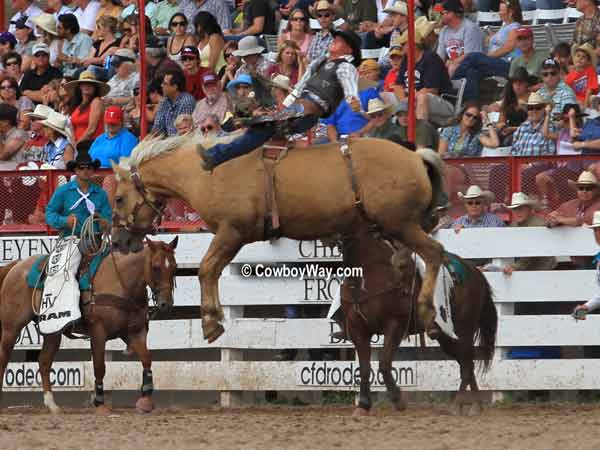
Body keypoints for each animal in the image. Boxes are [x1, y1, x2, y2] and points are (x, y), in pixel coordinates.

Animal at [0, 237, 178, 416]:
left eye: (175, 267)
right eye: (156, 267)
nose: (166, 304)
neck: (120, 280)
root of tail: (16, 266)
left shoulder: (135, 332)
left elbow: (147, 359)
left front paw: (146, 401)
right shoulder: (98, 332)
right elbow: (99, 366)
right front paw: (100, 404)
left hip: (52, 331)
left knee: (44, 361)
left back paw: (52, 405)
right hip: (11, 328)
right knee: (4, 357)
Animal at [111, 133, 446, 342]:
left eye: (117, 198)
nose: (118, 242)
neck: (207, 171)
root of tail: (416, 157)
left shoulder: (232, 231)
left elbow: (207, 268)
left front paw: (210, 322)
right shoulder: (231, 235)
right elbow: (213, 270)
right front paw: (215, 317)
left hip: (403, 225)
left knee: (434, 253)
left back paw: (427, 313)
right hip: (396, 229)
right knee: (405, 262)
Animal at [340, 234, 500, 416]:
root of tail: (475, 272)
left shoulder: (395, 325)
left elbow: (384, 363)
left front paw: (398, 399)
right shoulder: (357, 330)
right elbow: (365, 368)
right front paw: (363, 405)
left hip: (464, 329)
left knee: (466, 365)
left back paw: (457, 404)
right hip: (447, 337)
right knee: (466, 363)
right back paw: (475, 405)